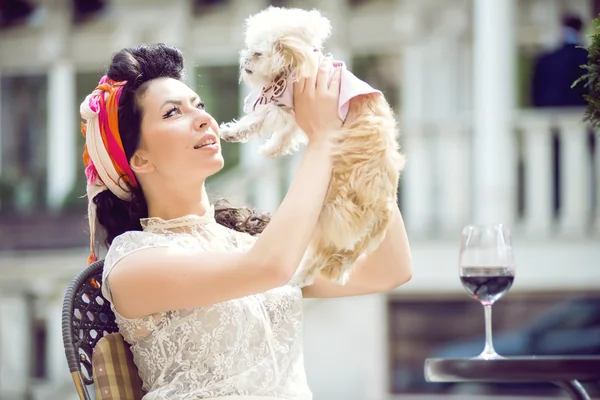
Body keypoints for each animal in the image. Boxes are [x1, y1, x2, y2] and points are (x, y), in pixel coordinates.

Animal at [218, 6, 406, 284]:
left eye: (257, 53)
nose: (243, 61)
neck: (293, 67)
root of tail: (382, 213)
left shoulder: (284, 101)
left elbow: (260, 119)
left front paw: (233, 131)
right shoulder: (294, 111)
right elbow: (285, 134)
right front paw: (270, 149)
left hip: (330, 213)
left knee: (320, 256)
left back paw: (296, 280)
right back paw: (300, 280)